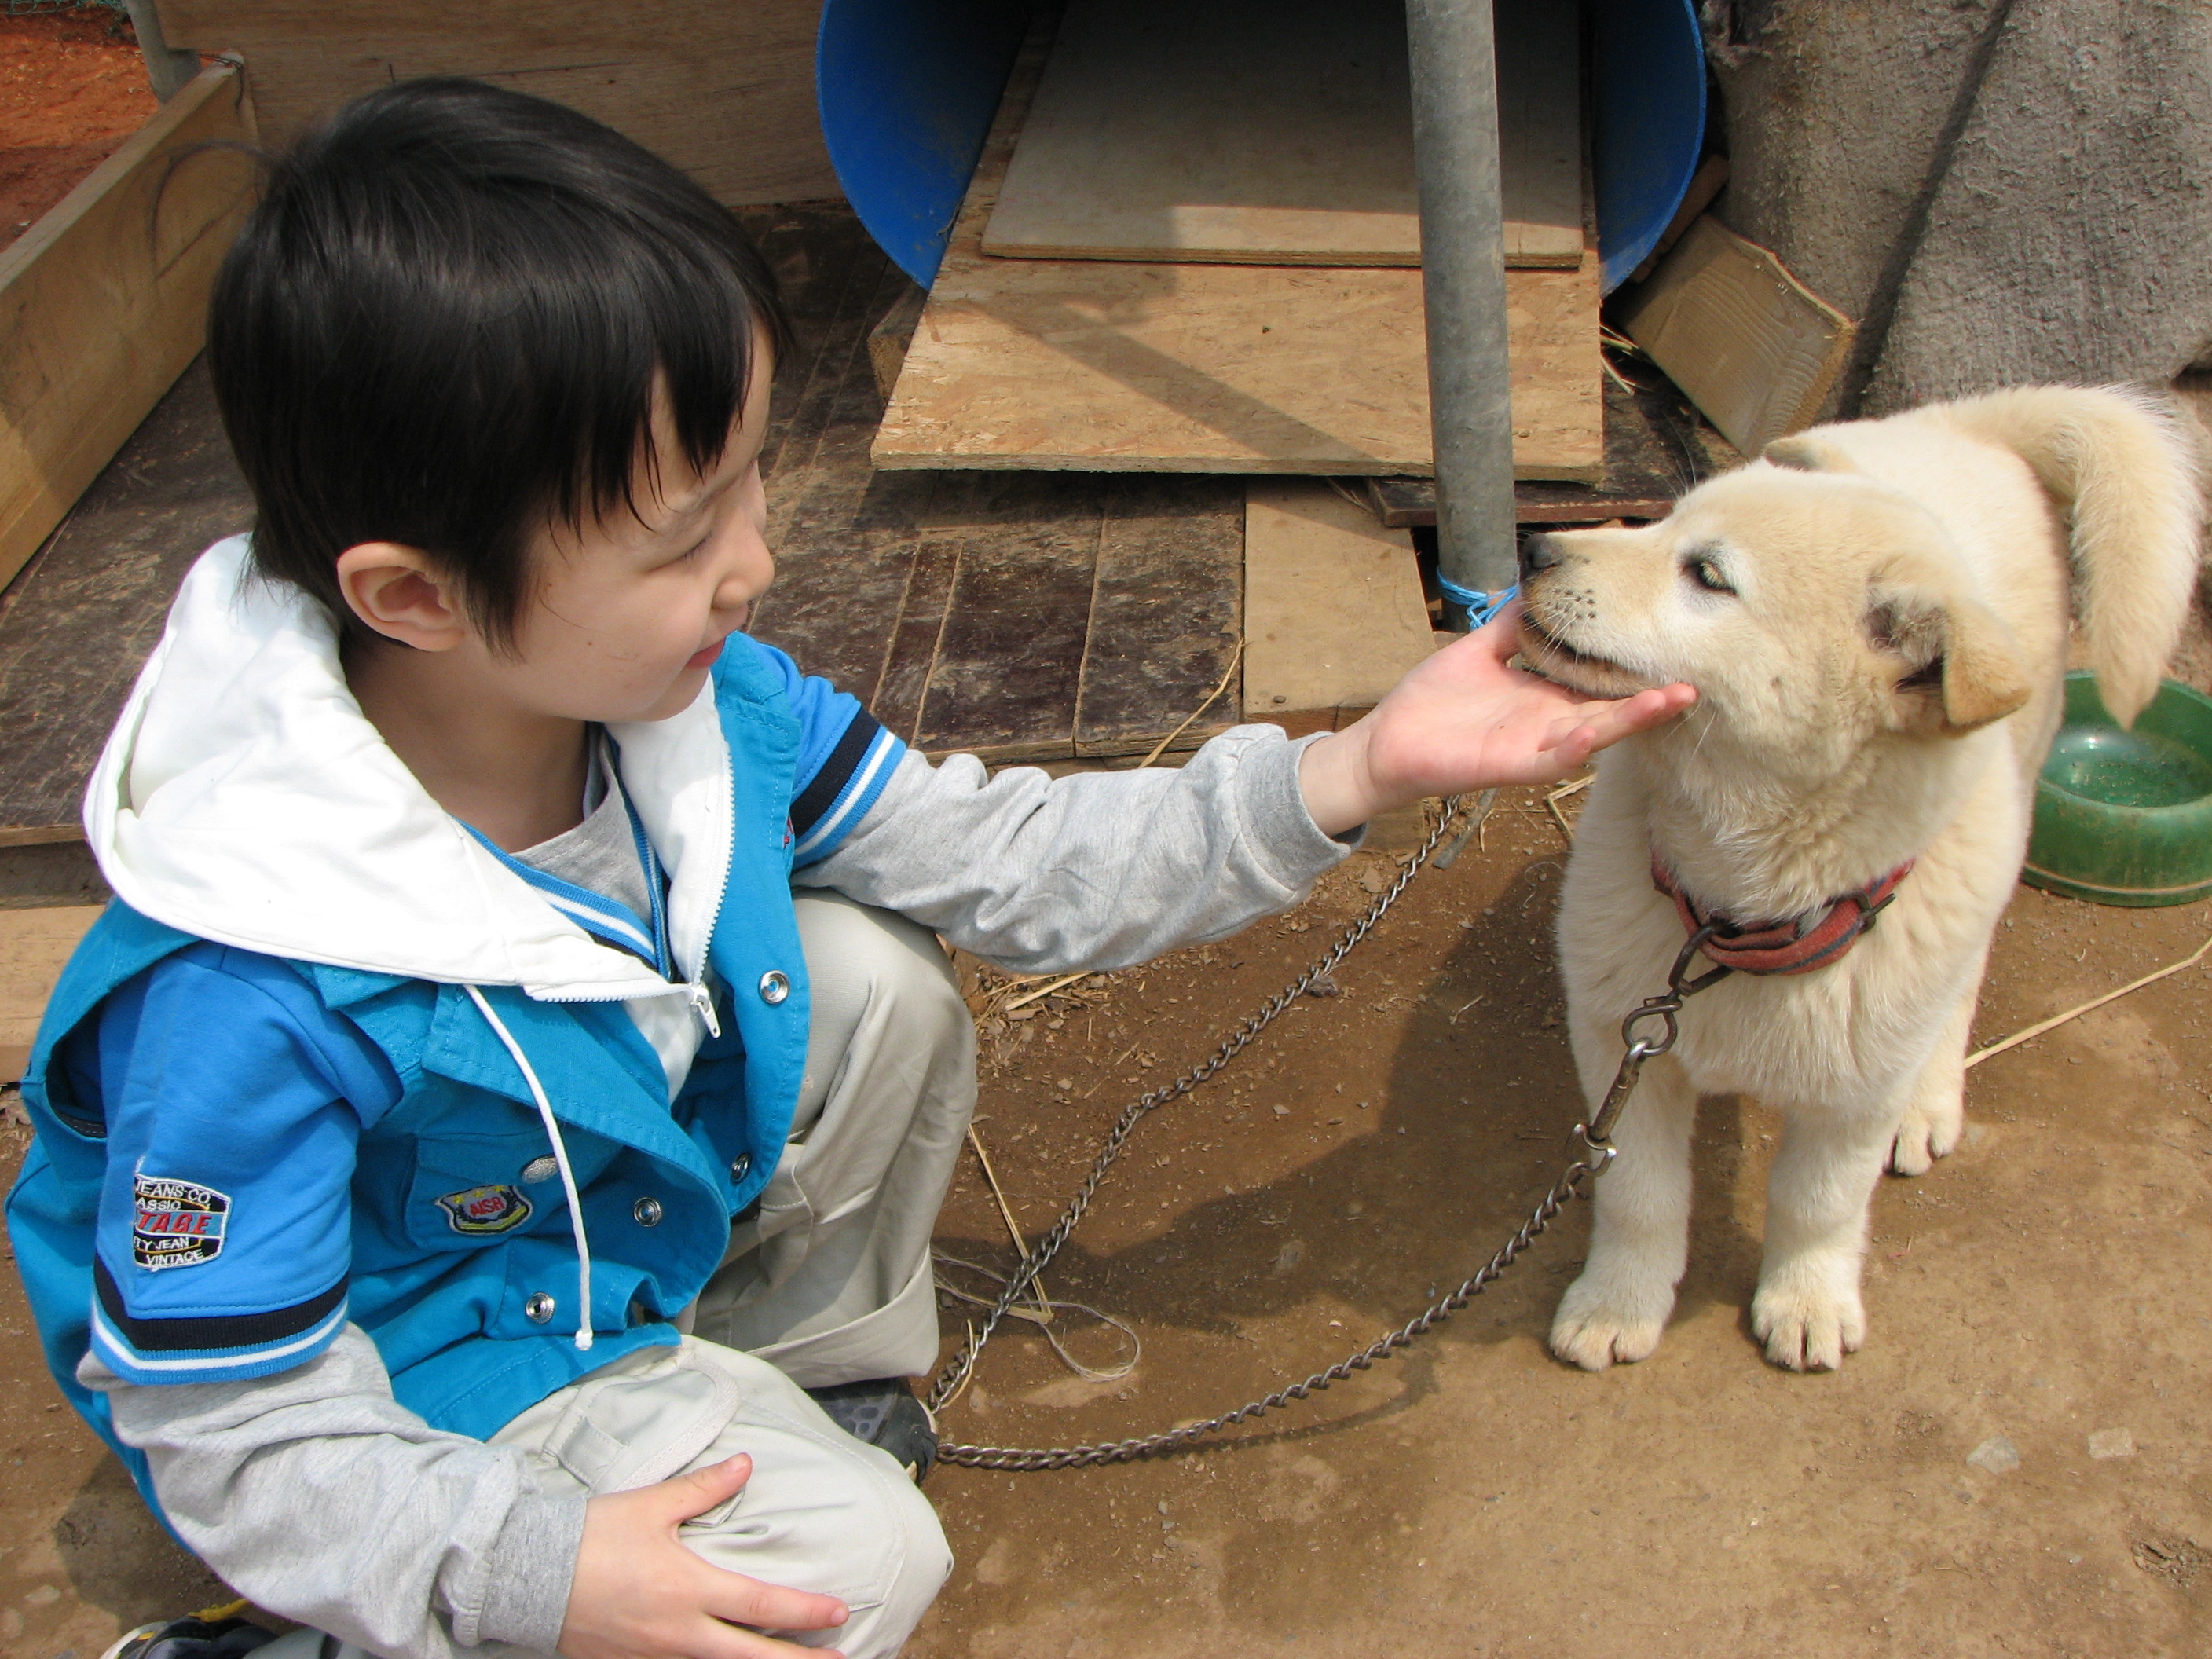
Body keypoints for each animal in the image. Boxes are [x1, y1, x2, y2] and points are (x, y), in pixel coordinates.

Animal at [1515, 385, 2204, 1372]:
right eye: (1666, 523)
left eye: (1707, 575)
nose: (1533, 550)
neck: (1741, 915)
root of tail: (1967, 424)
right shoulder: (1621, 1037)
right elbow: (1637, 1193)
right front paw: (1619, 1303)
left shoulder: (1854, 1090)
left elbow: (1818, 1201)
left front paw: (1805, 1297)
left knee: (1958, 989)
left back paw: (1929, 1100)